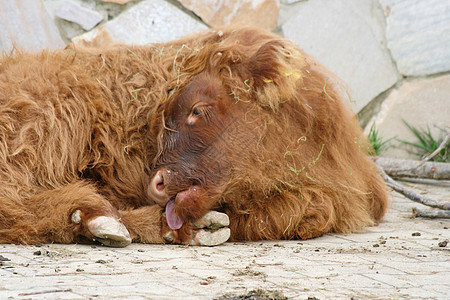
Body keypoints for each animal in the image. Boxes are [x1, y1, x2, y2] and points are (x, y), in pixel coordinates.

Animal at [0, 27, 388, 246]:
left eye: (197, 110)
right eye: (164, 119)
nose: (154, 183)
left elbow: (306, 212)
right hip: (52, 116)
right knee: (15, 204)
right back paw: (97, 218)